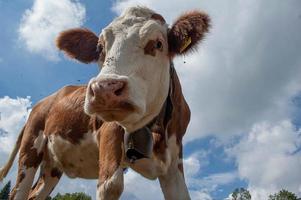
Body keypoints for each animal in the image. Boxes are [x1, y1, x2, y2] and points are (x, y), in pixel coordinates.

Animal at [0, 6, 210, 200]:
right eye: (100, 47)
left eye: (158, 44)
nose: (104, 88)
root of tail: (46, 100)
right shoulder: (109, 133)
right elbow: (112, 185)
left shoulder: (174, 160)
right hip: (30, 147)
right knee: (18, 191)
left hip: (52, 166)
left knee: (34, 194)